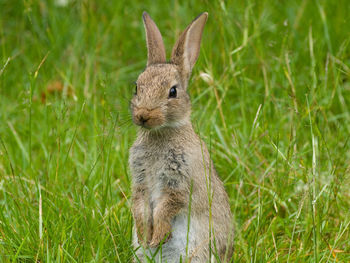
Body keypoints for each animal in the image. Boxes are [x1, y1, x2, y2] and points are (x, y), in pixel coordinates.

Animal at [128, 11, 232, 262]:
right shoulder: (140, 181)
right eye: (137, 87)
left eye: (173, 92)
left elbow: (167, 207)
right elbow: (140, 207)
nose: (143, 115)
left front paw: (157, 237)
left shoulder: (180, 182)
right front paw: (146, 237)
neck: (161, 134)